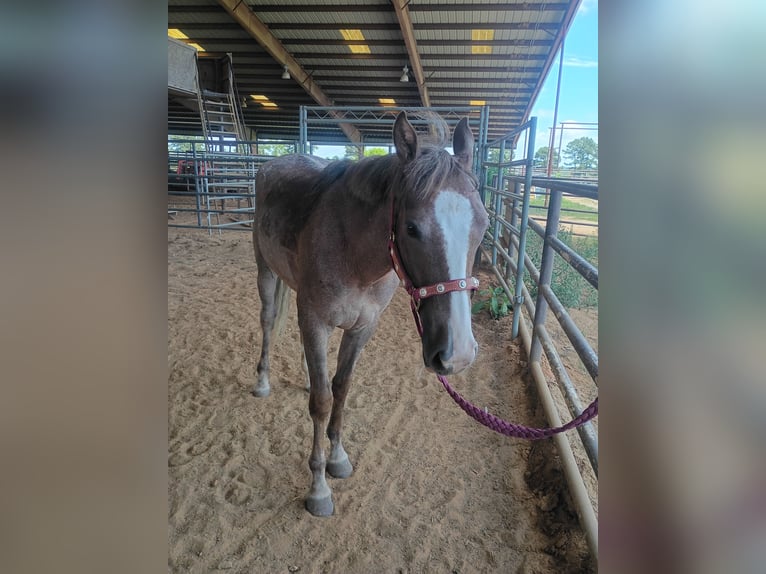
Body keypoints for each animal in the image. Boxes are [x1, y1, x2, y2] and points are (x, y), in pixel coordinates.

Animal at [252, 112, 489, 516]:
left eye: (484, 224)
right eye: (411, 228)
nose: (456, 354)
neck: (353, 252)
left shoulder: (362, 327)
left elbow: (341, 388)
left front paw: (338, 458)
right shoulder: (316, 321)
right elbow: (321, 402)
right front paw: (318, 488)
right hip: (266, 273)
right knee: (268, 323)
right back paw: (263, 381)